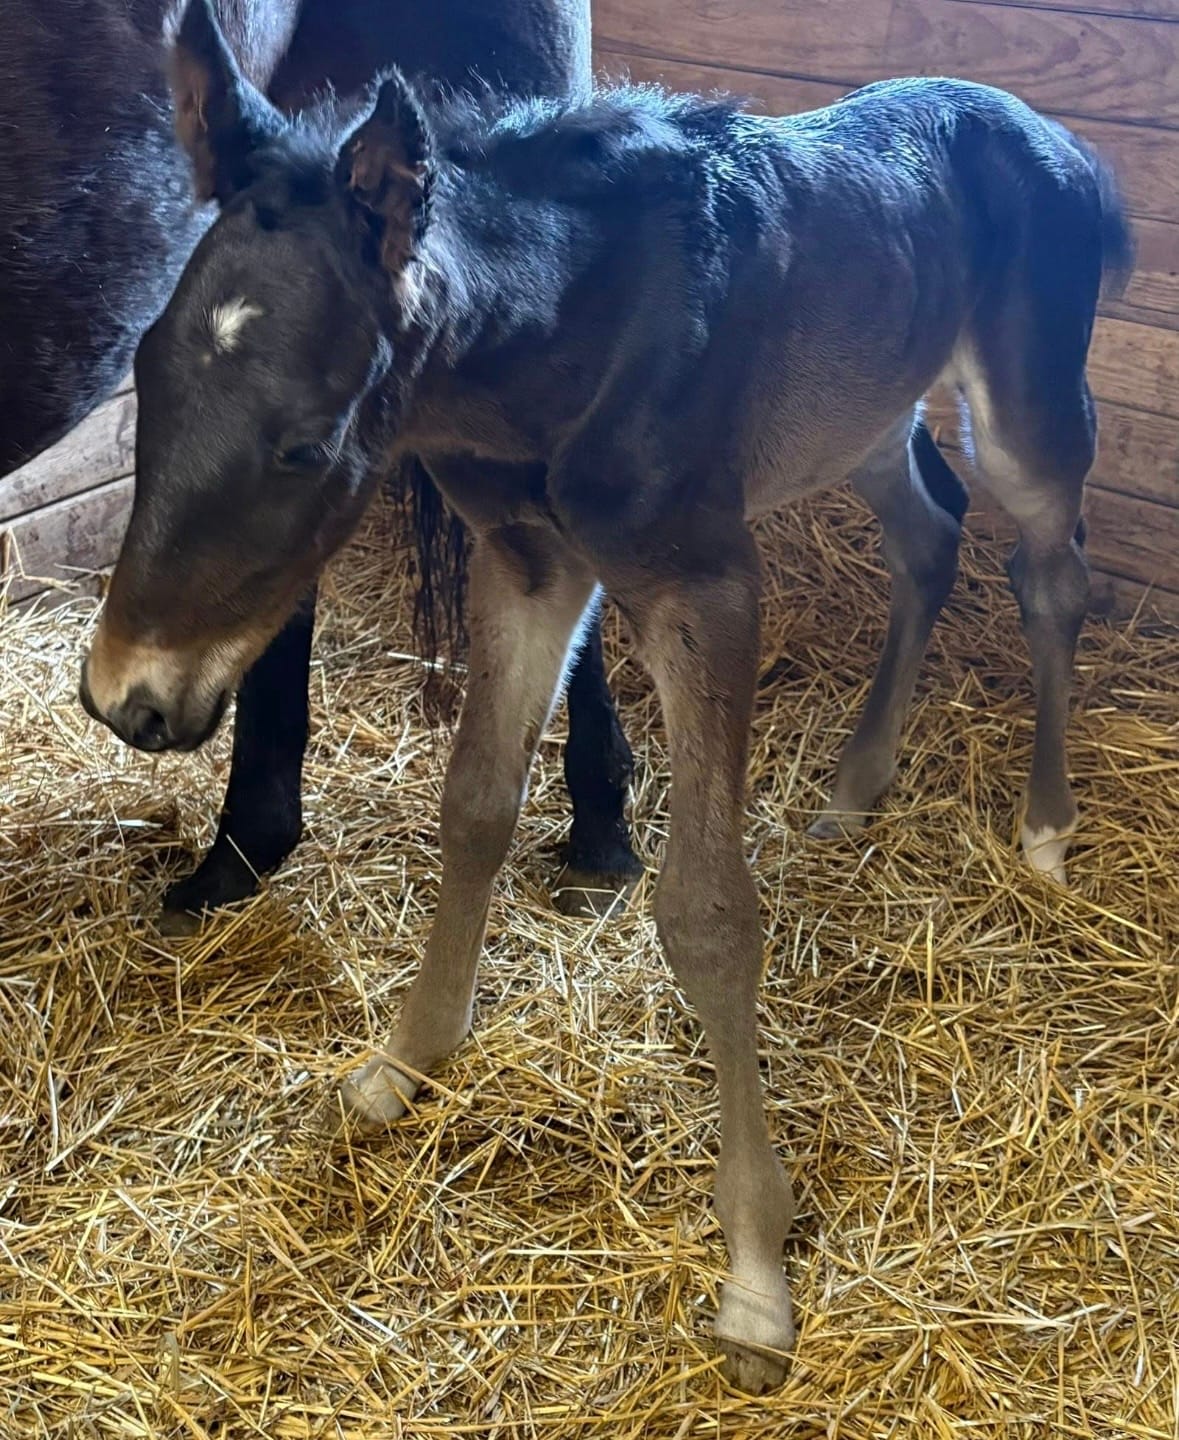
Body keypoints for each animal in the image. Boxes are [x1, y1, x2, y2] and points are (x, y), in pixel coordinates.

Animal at [79, 0, 1133, 1390]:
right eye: (146, 372)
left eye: (305, 443)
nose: (125, 698)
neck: (560, 346)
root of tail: (1068, 149)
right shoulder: (528, 563)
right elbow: (475, 807)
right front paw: (404, 1062)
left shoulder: (703, 586)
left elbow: (707, 912)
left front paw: (755, 1276)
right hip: (858, 416)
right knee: (927, 535)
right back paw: (853, 790)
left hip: (1025, 405)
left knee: (1047, 572)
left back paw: (1047, 827)